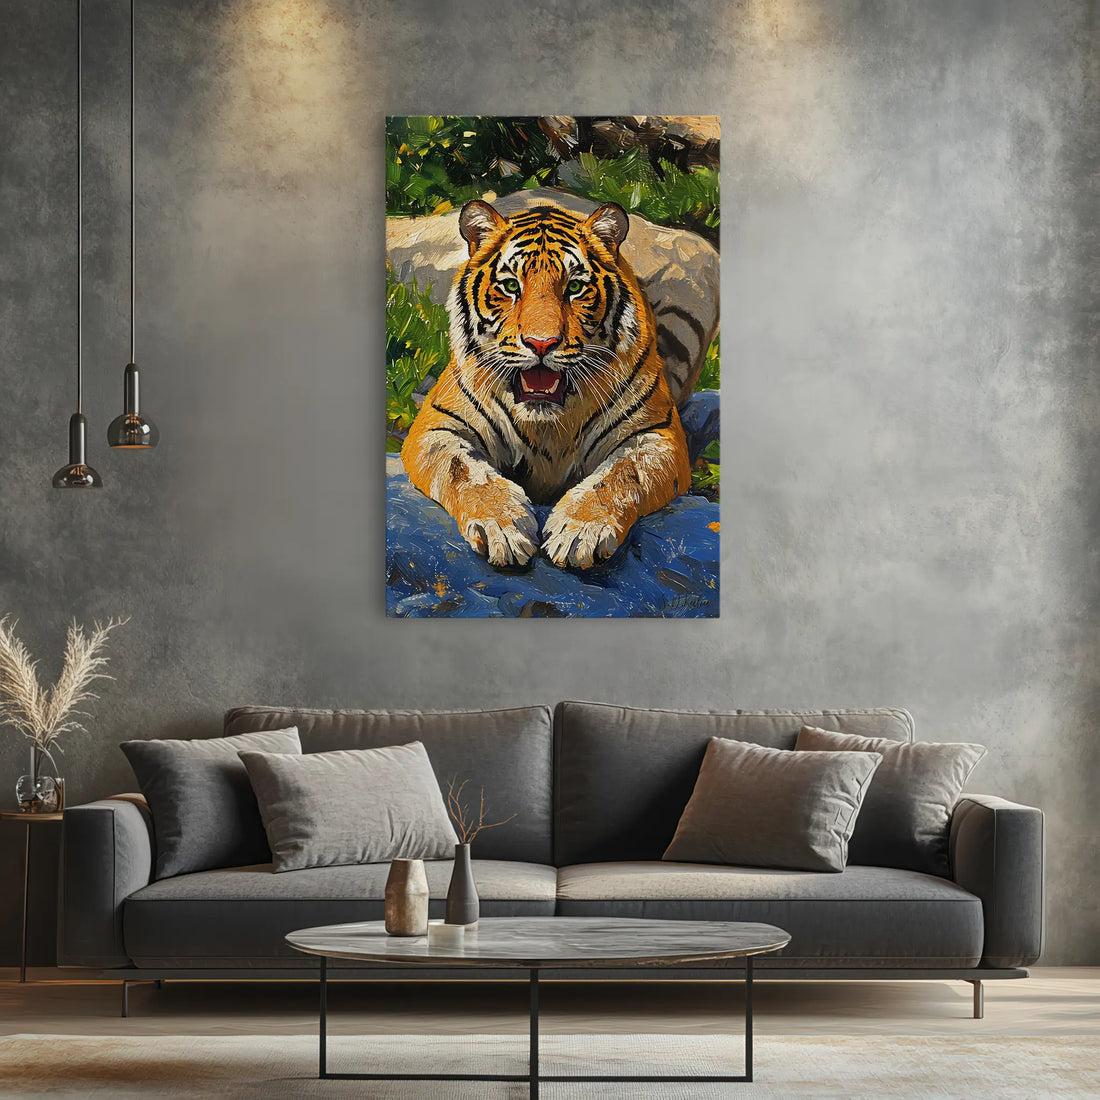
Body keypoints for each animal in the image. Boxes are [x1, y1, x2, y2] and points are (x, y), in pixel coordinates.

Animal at [401, 199, 693, 570]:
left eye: (574, 287)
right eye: (511, 286)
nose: (541, 344)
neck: (548, 427)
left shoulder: (656, 435)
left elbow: (621, 474)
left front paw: (580, 531)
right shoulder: (437, 427)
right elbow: (465, 471)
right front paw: (503, 527)